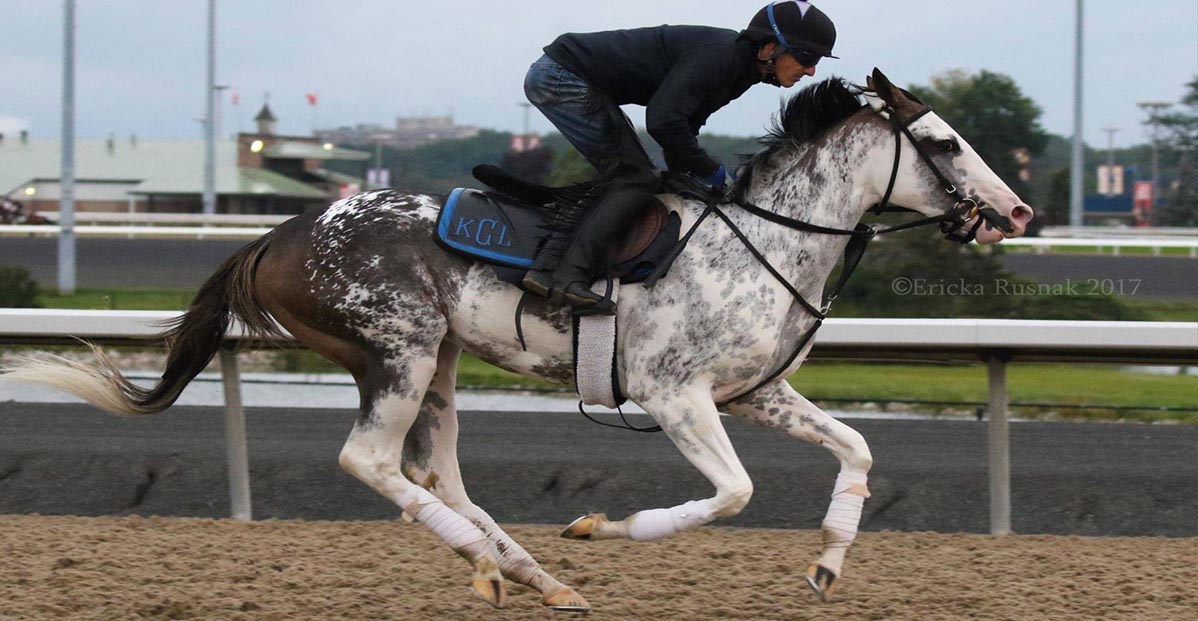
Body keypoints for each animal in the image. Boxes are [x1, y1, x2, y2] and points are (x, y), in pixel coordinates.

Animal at [0, 71, 1030, 613]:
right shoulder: (674, 396)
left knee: (436, 472)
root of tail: (281, 233)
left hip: (442, 362)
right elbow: (734, 491)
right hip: (399, 351)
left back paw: (531, 573)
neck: (766, 240)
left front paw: (825, 562)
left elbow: (857, 447)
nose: (1016, 210)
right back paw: (505, 565)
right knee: (372, 460)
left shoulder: (753, 391)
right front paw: (601, 525)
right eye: (943, 141)